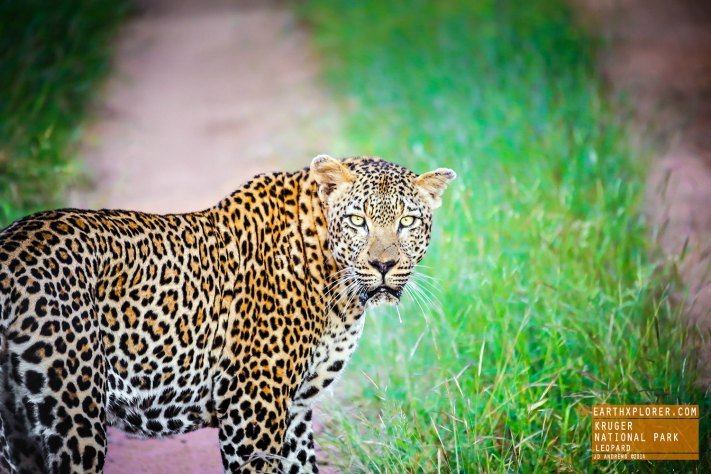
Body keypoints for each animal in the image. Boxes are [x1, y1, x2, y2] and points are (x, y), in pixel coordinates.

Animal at [0, 154, 456, 472]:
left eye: (408, 221)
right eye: (358, 221)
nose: (384, 265)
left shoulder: (294, 412)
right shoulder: (253, 407)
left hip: (17, 433)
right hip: (71, 417)